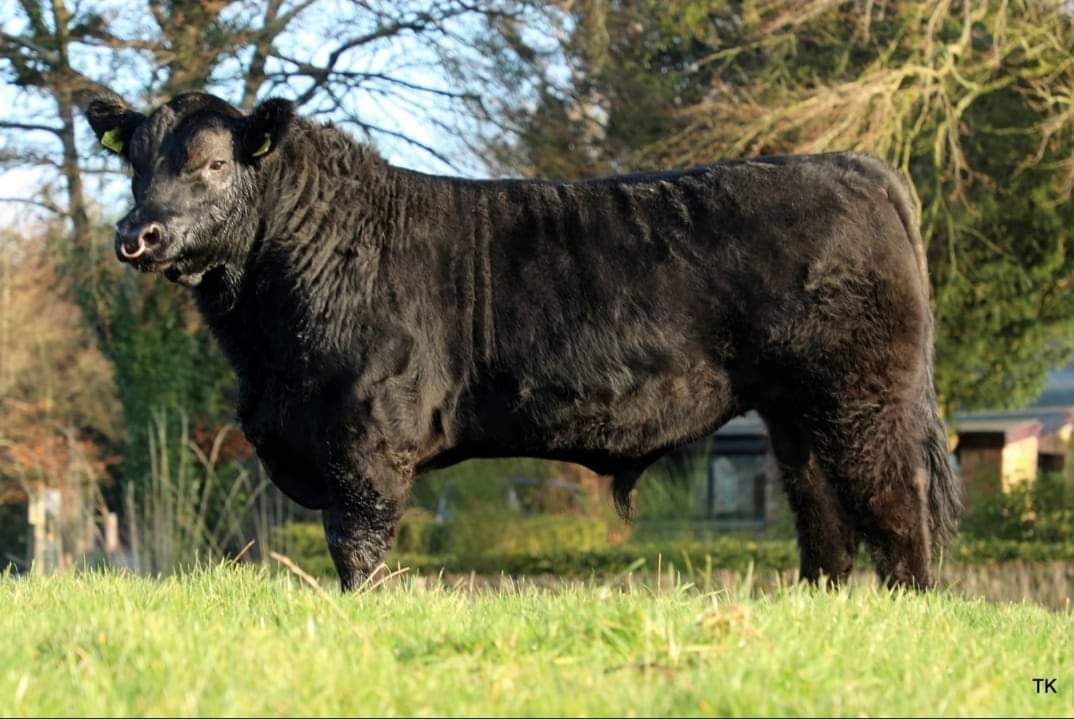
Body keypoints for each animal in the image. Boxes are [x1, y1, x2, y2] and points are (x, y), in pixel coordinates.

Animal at [85, 91, 962, 591]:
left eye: (211, 162)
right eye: (133, 165)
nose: (138, 233)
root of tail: (851, 165)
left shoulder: (364, 437)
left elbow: (357, 549)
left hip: (864, 394)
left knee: (895, 502)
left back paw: (907, 605)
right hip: (795, 410)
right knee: (824, 512)